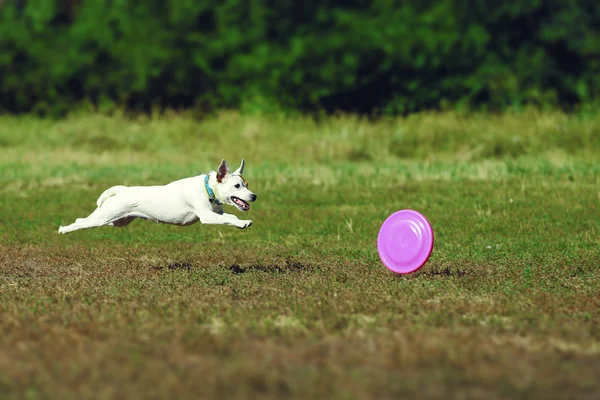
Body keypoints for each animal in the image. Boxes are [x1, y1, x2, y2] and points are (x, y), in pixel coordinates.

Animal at [58, 159, 258, 234]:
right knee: (82, 222)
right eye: (237, 186)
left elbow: (230, 216)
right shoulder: (207, 217)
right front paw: (243, 223)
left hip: (118, 220)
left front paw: (239, 222)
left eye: (247, 185)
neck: (208, 189)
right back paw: (64, 229)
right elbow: (228, 219)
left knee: (83, 219)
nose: (254, 196)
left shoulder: (217, 212)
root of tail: (123, 190)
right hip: (105, 216)